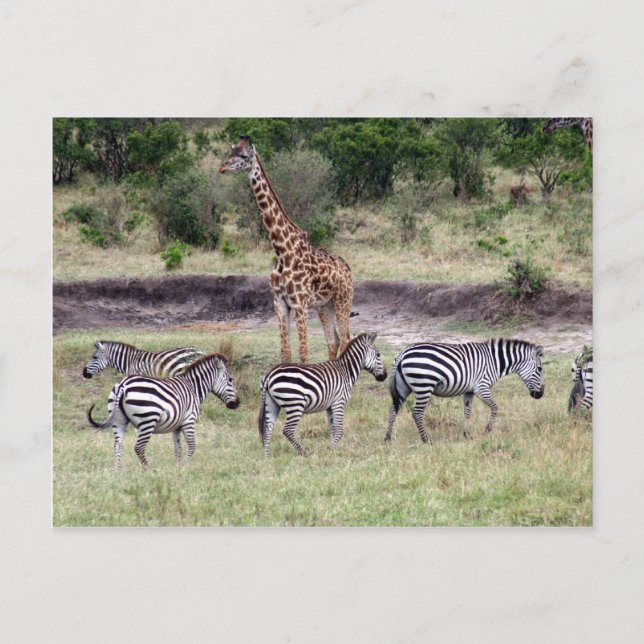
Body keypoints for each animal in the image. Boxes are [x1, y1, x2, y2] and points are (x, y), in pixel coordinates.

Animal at [218, 136, 354, 363]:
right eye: (231, 152)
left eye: (243, 156)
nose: (222, 167)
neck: (282, 251)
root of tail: (348, 269)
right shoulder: (280, 304)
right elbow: (285, 353)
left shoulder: (300, 303)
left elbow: (304, 354)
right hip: (324, 305)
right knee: (333, 342)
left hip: (343, 300)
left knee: (345, 340)